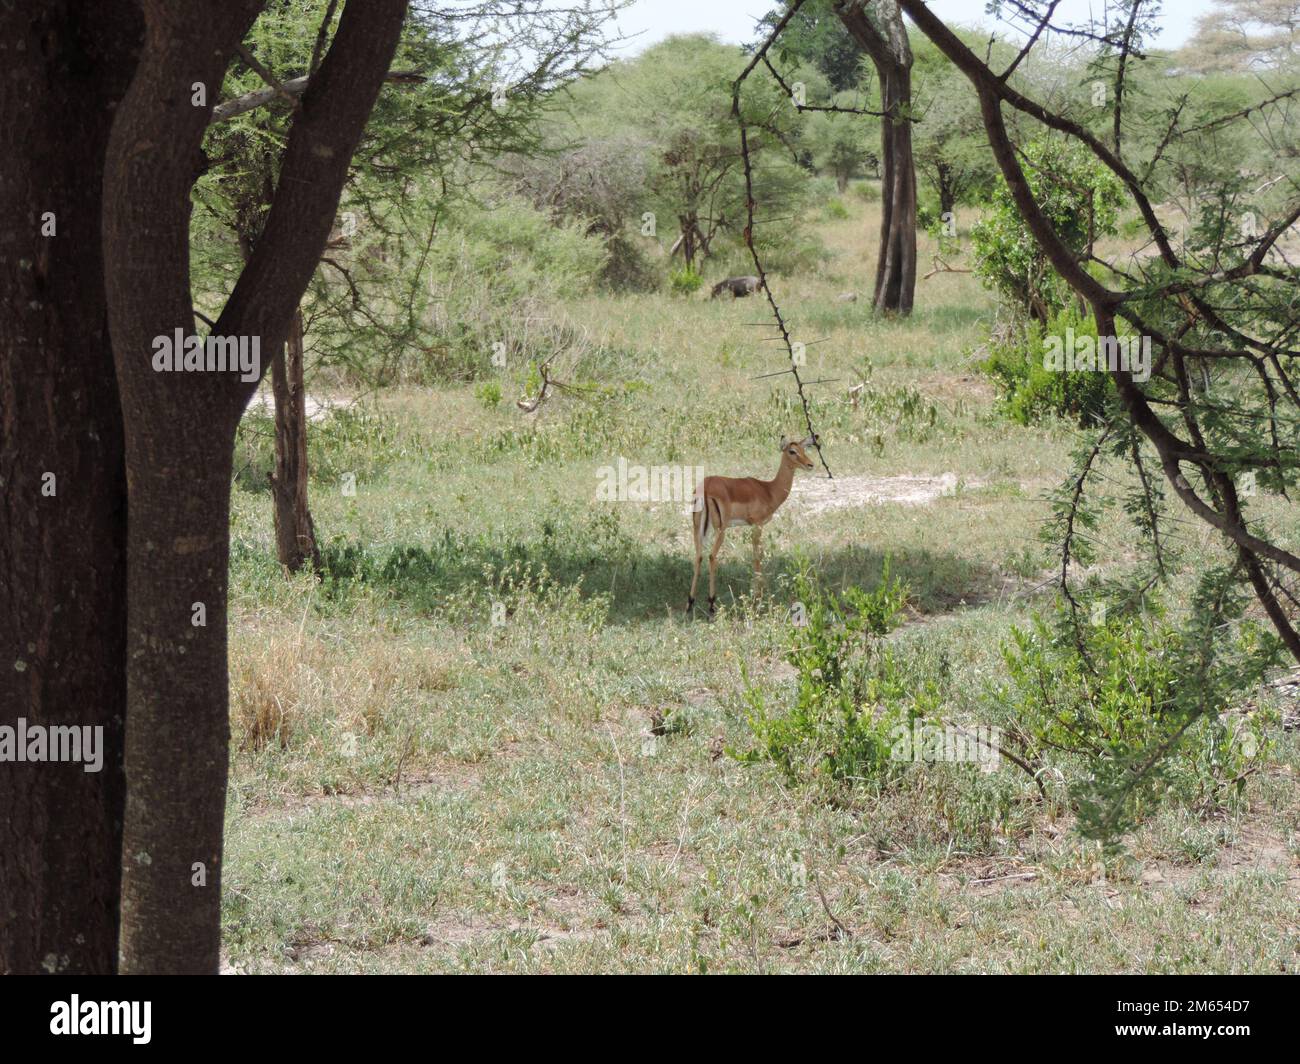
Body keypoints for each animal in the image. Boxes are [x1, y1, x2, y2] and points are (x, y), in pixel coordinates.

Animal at [687, 434, 818, 617]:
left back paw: (690, 603)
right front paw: (758, 595)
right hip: (721, 529)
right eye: (792, 451)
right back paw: (711, 604)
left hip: (698, 529)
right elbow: (757, 555)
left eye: (803, 449)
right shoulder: (757, 525)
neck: (768, 490)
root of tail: (705, 489)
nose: (810, 464)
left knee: (698, 556)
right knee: (712, 556)